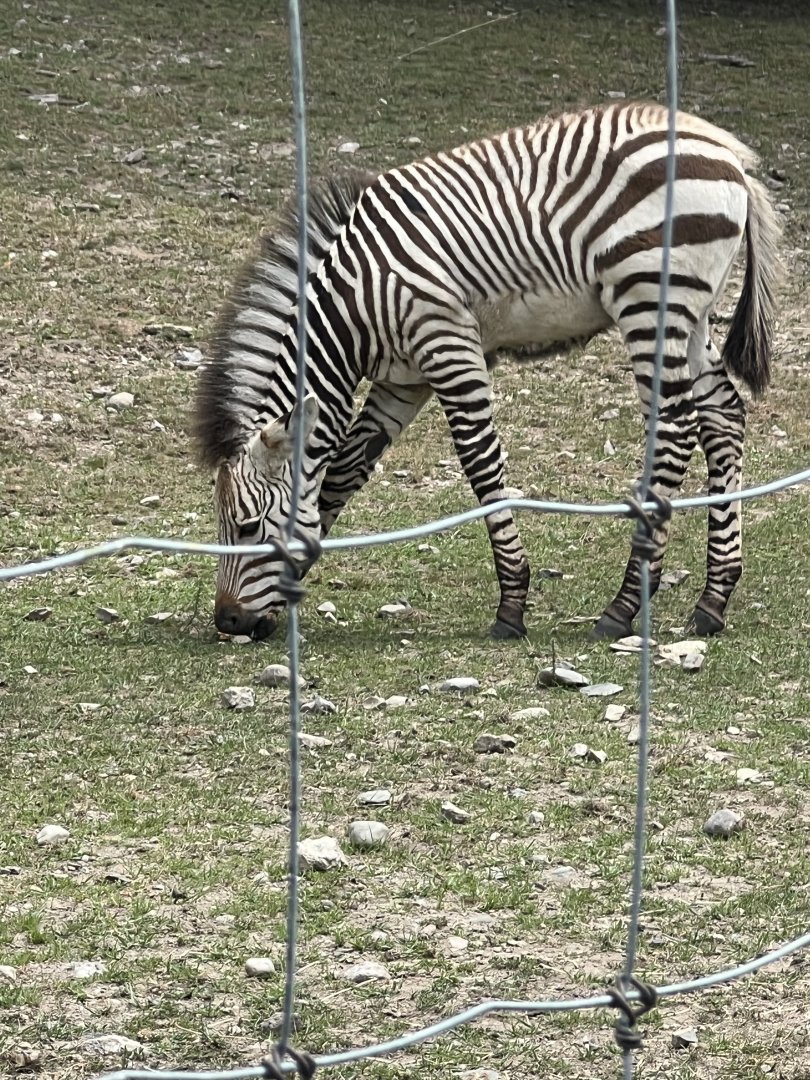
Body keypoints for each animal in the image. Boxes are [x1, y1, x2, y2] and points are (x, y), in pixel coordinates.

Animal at [194, 101, 780, 643]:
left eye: (247, 527)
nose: (227, 621)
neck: (351, 310)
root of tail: (727, 151)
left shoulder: (447, 343)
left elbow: (482, 467)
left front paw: (512, 606)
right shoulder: (402, 380)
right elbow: (343, 472)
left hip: (649, 301)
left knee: (675, 428)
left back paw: (625, 604)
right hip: (690, 313)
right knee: (723, 416)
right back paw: (713, 598)